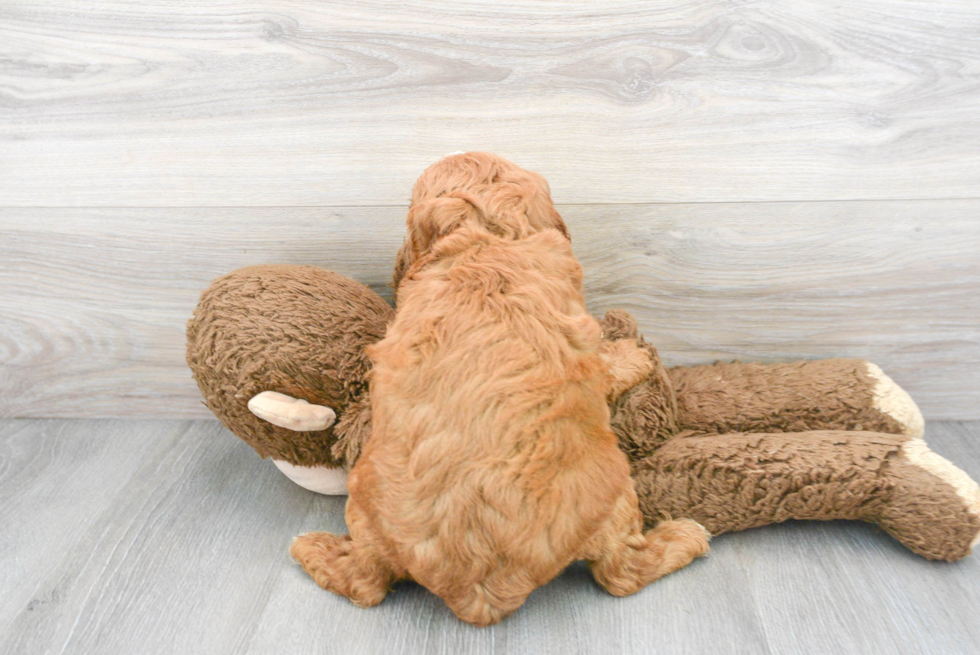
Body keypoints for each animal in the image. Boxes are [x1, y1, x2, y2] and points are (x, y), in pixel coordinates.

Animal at [288, 151, 708, 628]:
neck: (483, 239)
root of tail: (478, 590)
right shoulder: (581, 331)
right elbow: (607, 363)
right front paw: (632, 356)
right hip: (617, 497)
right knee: (621, 573)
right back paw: (686, 534)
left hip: (362, 503)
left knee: (365, 582)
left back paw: (312, 548)